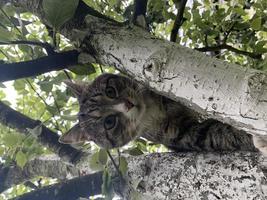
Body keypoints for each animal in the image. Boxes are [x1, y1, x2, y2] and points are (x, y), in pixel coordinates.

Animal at [58, 72, 266, 154]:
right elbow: (218, 133)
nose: (128, 104)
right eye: (109, 122)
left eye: (110, 91)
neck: (152, 110)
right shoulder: (185, 134)